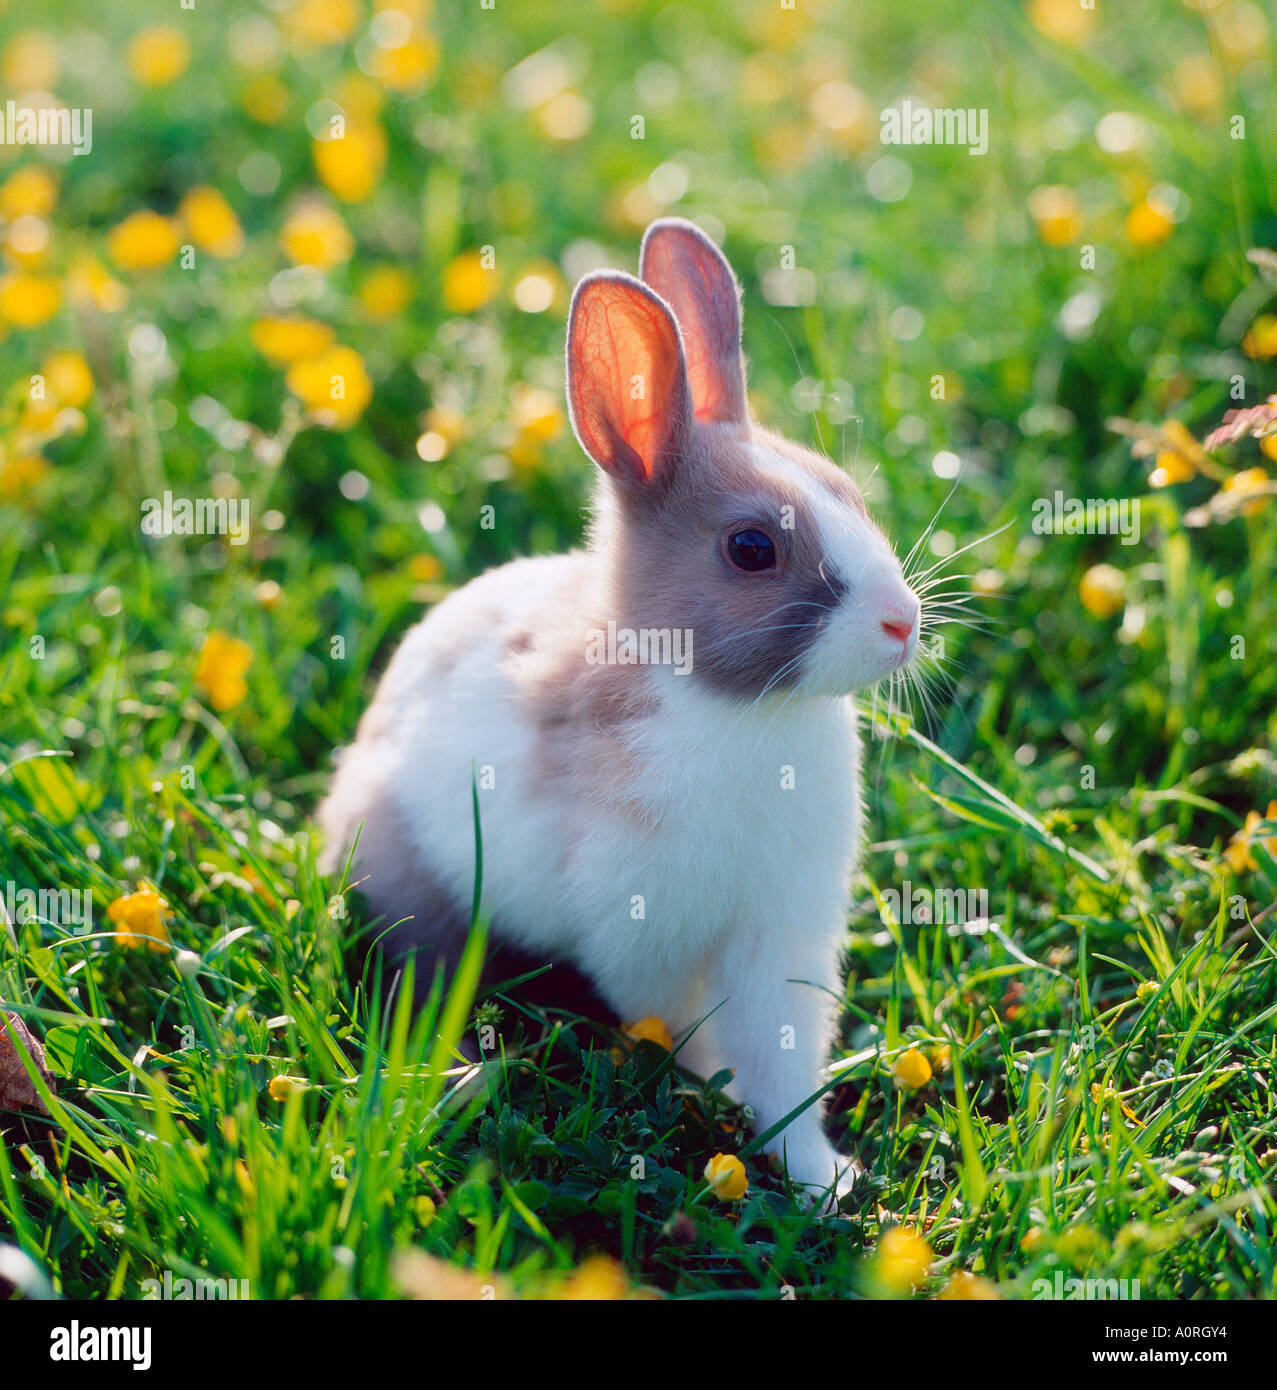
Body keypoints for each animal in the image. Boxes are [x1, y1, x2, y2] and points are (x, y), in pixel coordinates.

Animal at [318, 217, 921, 1205]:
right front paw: (710, 1091)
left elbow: (782, 1057)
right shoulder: (642, 932)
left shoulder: (780, 933)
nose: (902, 624)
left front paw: (818, 1176)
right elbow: (683, 1025)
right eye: (750, 549)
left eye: (847, 491)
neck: (729, 704)